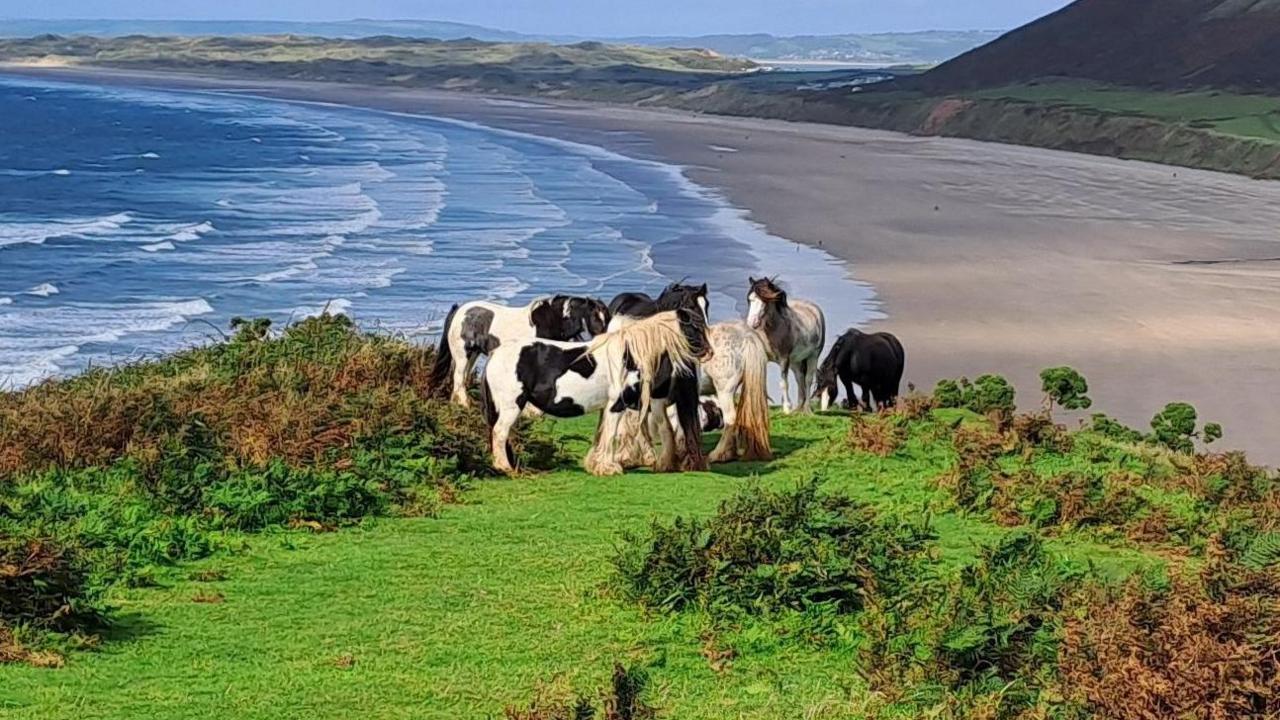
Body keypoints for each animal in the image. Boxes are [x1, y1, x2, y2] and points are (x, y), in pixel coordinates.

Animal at [430, 295, 610, 407]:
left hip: (473, 353)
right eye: (595, 317)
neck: (551, 320)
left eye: (607, 318)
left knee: (462, 377)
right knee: (458, 377)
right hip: (463, 354)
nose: (605, 338)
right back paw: (464, 404)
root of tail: (459, 311)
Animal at [480, 307, 711, 476]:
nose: (709, 352)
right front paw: (609, 467)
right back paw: (505, 468)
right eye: (695, 327)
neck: (629, 355)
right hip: (511, 406)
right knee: (499, 433)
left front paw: (595, 464)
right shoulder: (617, 405)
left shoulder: (607, 407)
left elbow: (602, 434)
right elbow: (611, 435)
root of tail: (494, 355)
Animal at [746, 276, 827, 414]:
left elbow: (784, 383)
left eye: (764, 301)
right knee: (799, 378)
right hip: (795, 361)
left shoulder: (784, 359)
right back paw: (798, 409)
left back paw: (807, 409)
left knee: (808, 379)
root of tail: (814, 309)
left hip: (813, 356)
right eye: (749, 299)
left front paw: (787, 408)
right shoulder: (765, 358)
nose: (752, 323)